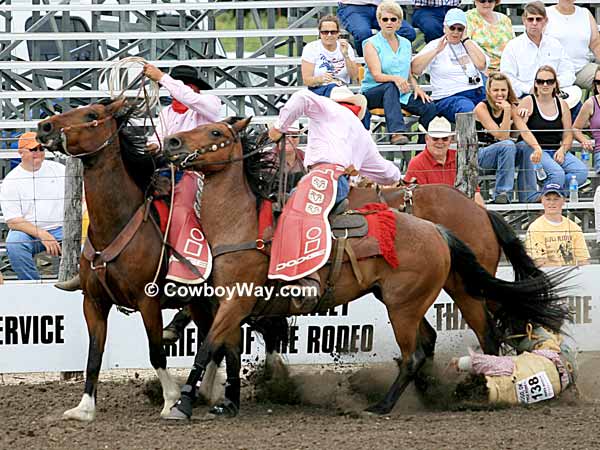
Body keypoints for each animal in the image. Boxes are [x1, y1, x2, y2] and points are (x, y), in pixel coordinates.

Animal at [159, 116, 572, 418]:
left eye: (215, 131)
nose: (172, 143)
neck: (242, 223)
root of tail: (442, 227)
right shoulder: (229, 301)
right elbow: (227, 350)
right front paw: (227, 402)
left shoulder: (237, 301)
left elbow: (207, 347)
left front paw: (183, 403)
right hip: (407, 300)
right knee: (432, 341)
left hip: (424, 300)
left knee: (451, 342)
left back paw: (393, 403)